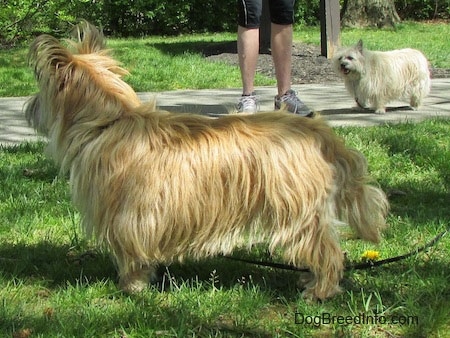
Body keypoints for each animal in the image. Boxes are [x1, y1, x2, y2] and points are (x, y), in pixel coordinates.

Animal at [25, 22, 390, 300]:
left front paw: (132, 286)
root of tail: (317, 131)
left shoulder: (129, 216)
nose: (28, 108)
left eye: (41, 91)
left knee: (326, 250)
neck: (109, 121)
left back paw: (319, 290)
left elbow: (132, 254)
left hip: (295, 209)